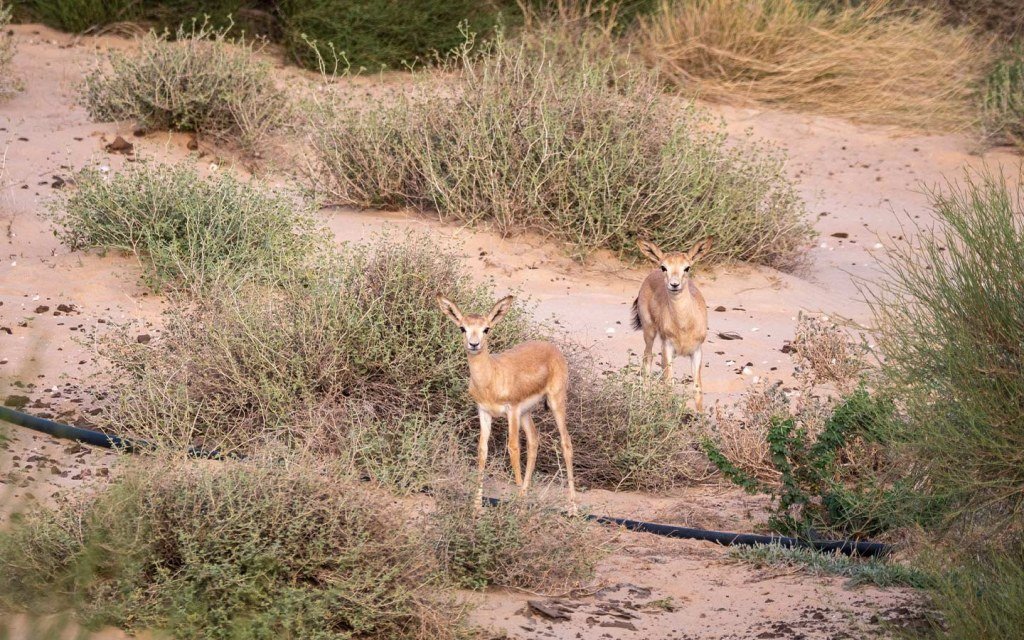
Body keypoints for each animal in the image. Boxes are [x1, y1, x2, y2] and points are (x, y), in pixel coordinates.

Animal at [436, 294, 577, 512]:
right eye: (462, 328)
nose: (474, 344)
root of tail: (552, 347)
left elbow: (513, 448)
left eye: (486, 328)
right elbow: (482, 450)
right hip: (526, 413)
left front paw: (517, 507)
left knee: (566, 442)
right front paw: (477, 507)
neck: (491, 377)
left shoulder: (512, 410)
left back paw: (573, 508)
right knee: (534, 440)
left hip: (555, 402)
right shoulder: (484, 412)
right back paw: (526, 496)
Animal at [631, 237, 714, 412]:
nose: (674, 284)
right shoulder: (667, 346)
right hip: (649, 332)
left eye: (687, 267)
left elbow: (697, 388)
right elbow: (669, 384)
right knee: (647, 360)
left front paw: (701, 416)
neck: (684, 326)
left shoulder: (697, 351)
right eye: (664, 267)